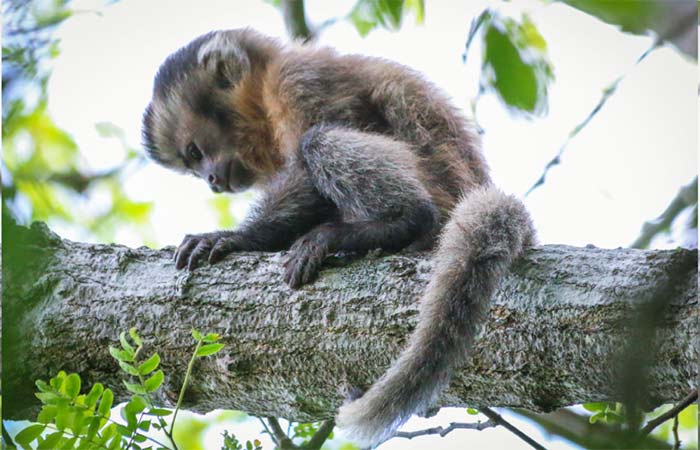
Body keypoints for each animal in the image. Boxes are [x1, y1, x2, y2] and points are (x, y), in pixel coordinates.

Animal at [142, 28, 535, 447]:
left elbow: (309, 165)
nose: (212, 181)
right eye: (192, 165)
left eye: (195, 152)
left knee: (320, 140)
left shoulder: (299, 81)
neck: (264, 89)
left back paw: (401, 222)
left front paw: (238, 238)